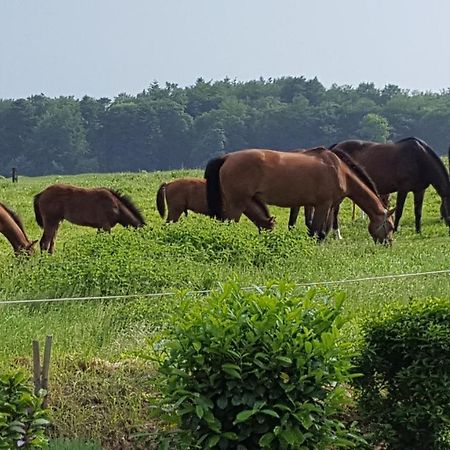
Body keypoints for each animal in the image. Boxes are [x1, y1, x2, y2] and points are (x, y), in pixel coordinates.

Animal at [204, 149, 394, 244]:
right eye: (391, 226)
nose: (388, 243)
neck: (340, 171)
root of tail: (227, 157)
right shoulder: (323, 205)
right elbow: (317, 231)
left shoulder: (328, 206)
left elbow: (322, 231)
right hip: (237, 203)